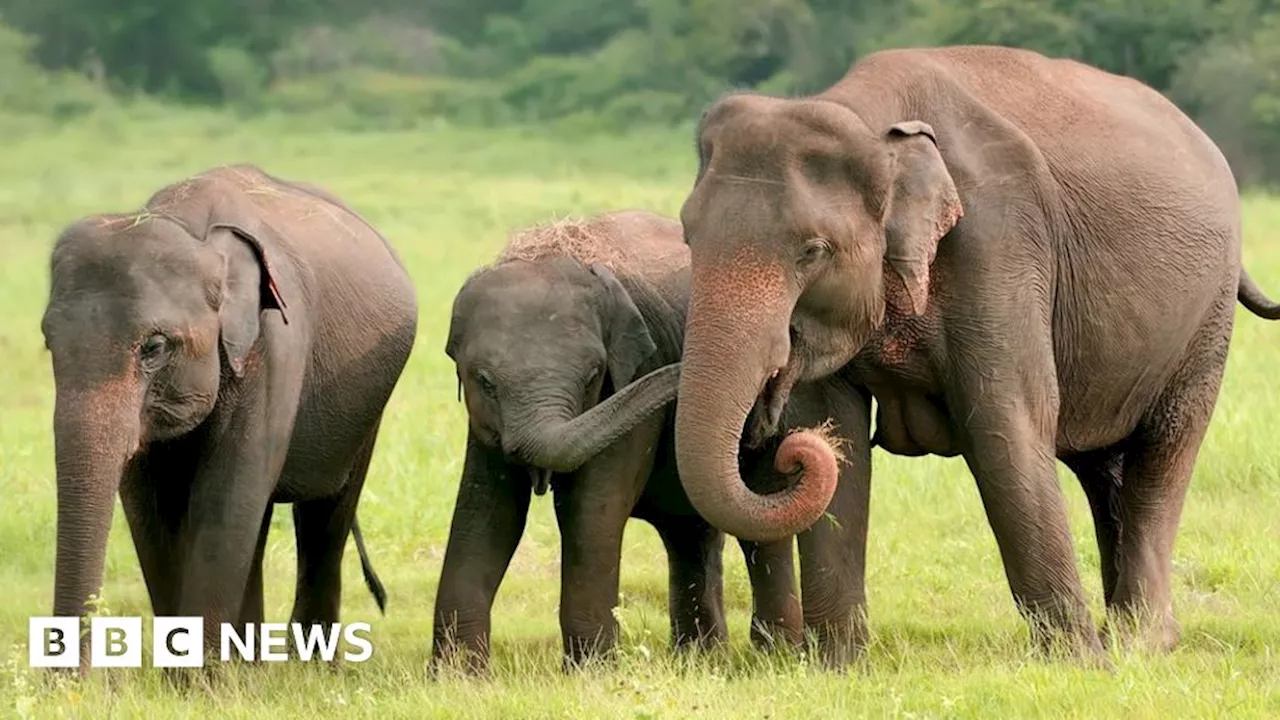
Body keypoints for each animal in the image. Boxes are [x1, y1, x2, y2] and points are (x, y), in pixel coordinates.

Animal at [41, 163, 414, 666]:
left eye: (154, 347)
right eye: (49, 344)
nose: (62, 679)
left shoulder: (274, 347)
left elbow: (225, 501)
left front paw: (201, 680)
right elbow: (150, 511)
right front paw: (187, 675)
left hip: (366, 408)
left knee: (327, 512)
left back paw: (311, 668)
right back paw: (252, 665)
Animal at [430, 210, 870, 671]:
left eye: (593, 375)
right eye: (484, 380)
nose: (773, 372)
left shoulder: (633, 380)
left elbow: (592, 509)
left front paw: (590, 673)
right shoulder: (482, 424)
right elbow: (488, 511)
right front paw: (458, 677)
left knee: (757, 525)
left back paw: (772, 657)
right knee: (690, 531)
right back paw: (700, 659)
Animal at [665, 44, 1280, 661]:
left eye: (813, 251)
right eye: (688, 236)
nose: (776, 447)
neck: (867, 115)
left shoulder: (1000, 243)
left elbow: (1005, 426)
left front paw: (1079, 663)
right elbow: (833, 428)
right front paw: (837, 665)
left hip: (1206, 322)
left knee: (1164, 452)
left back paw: (1137, 643)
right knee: (1102, 466)